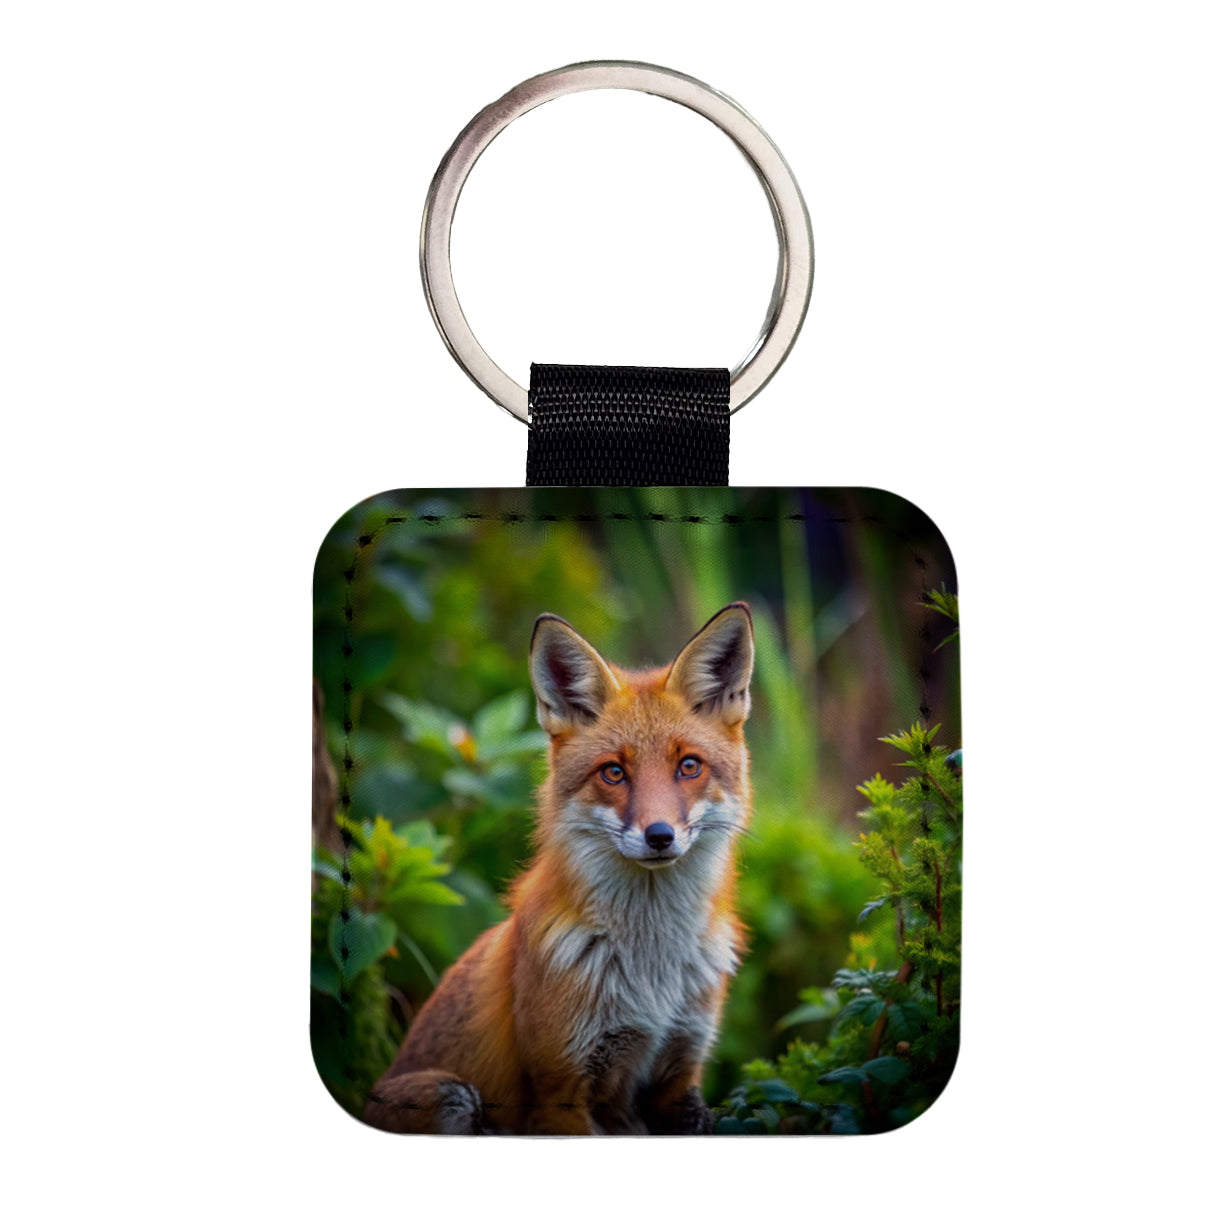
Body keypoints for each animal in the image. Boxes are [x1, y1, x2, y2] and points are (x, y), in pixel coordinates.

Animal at [364, 602, 755, 1136]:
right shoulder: (560, 1090)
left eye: (689, 766)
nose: (659, 836)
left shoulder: (680, 1076)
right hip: (452, 1095)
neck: (651, 972)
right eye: (614, 772)